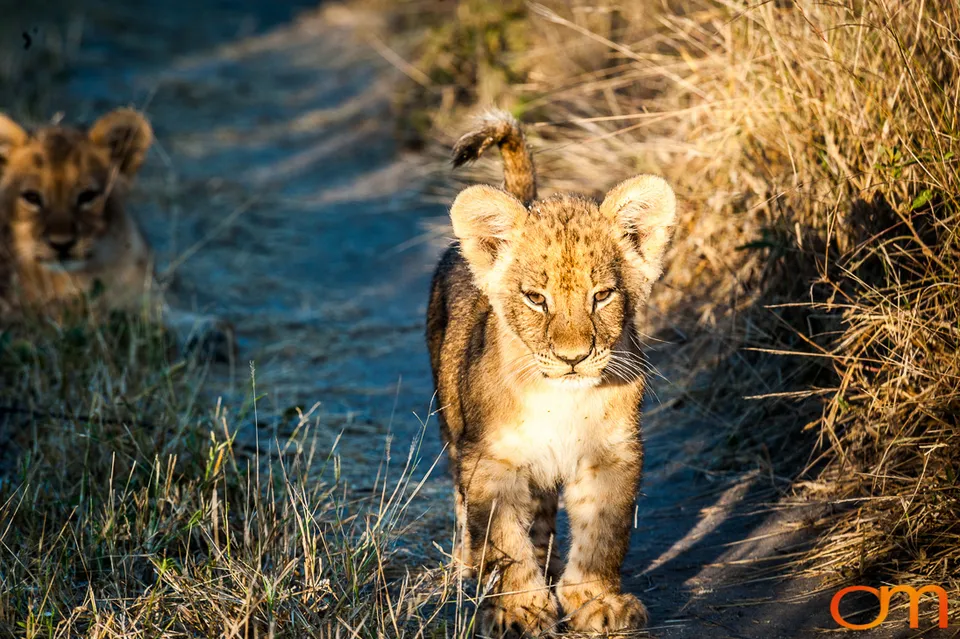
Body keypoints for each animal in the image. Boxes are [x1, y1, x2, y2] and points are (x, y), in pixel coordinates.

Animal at [427, 111, 677, 636]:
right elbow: (503, 539)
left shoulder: (611, 454)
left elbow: (603, 535)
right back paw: (469, 571)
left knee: (541, 519)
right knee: (465, 506)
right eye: (535, 299)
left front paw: (596, 601)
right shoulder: (492, 460)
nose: (573, 357)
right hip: (454, 426)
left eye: (601, 295)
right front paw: (519, 609)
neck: (562, 399)